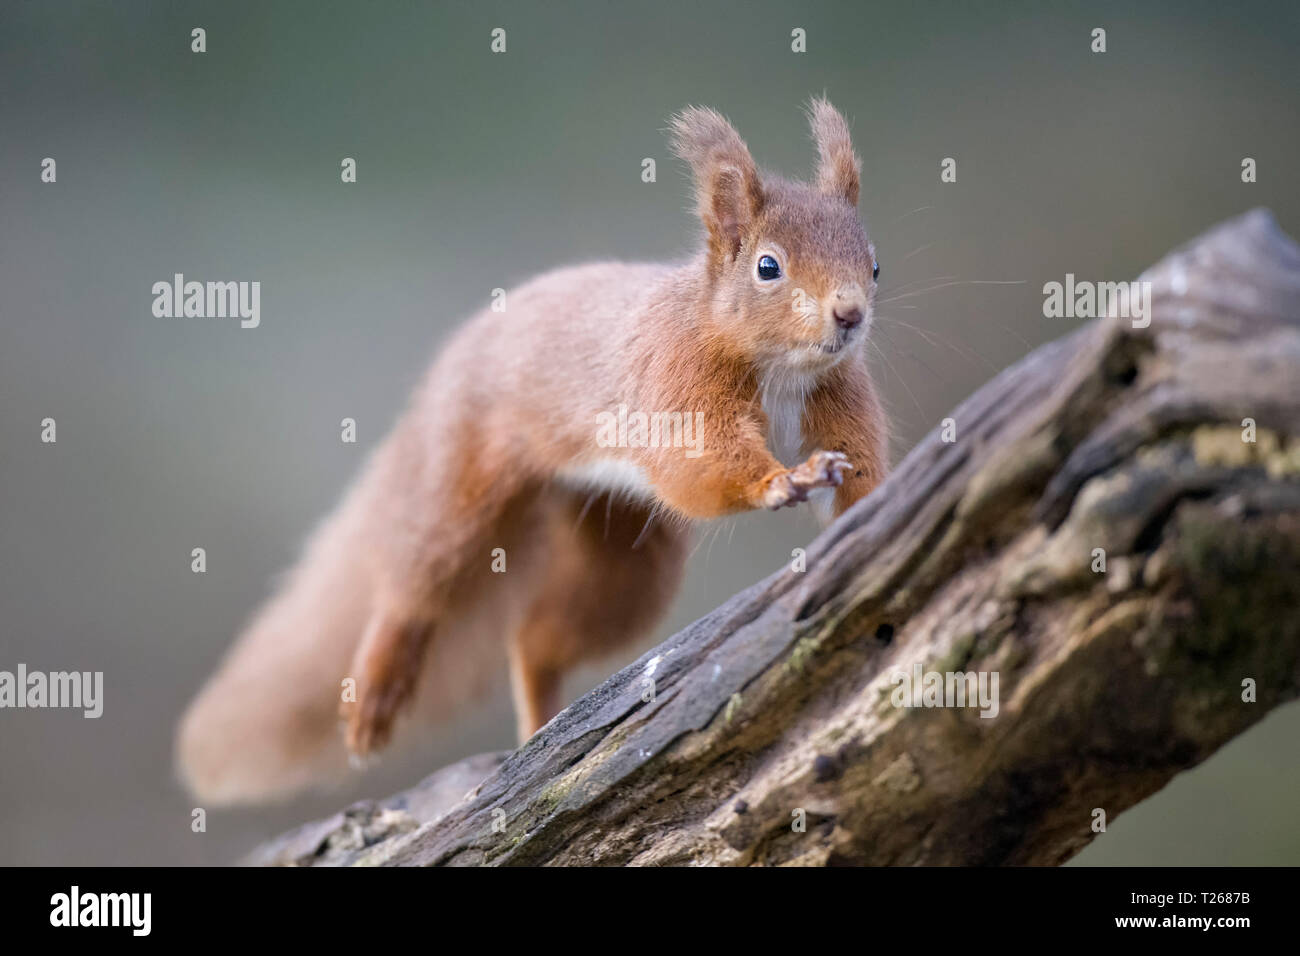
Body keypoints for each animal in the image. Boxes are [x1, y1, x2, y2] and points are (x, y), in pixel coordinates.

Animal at [178, 97, 889, 806]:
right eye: (768, 267)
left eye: (875, 263)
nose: (850, 314)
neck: (779, 367)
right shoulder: (677, 385)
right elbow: (702, 465)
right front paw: (783, 480)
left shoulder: (837, 397)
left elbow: (860, 472)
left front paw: (862, 495)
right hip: (461, 478)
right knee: (414, 582)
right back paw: (376, 697)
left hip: (621, 554)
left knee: (537, 642)